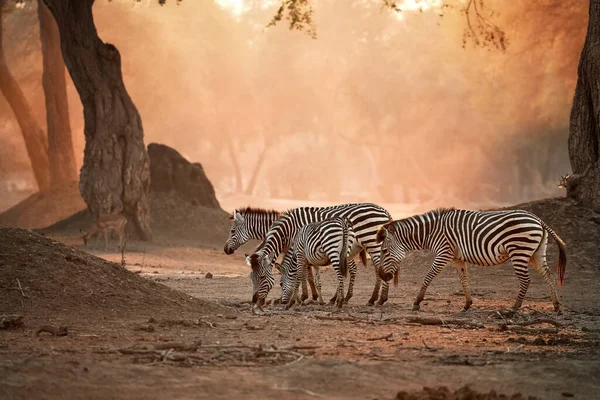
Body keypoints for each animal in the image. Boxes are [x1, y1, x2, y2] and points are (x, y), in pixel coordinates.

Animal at [246, 203, 392, 310]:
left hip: (372, 243)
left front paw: (302, 298)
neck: (288, 229)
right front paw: (310, 298)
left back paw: (379, 299)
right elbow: (310, 274)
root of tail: (385, 211)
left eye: (262, 277)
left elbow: (303, 274)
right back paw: (363, 298)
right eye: (251, 277)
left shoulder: (302, 247)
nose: (254, 301)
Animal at [376, 208, 568, 314]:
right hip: (536, 253)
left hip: (519, 251)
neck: (432, 232)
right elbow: (464, 280)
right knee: (548, 275)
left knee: (526, 280)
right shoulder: (457, 258)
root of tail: (538, 220)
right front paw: (467, 304)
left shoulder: (444, 253)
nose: (382, 276)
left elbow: (428, 276)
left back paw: (514, 308)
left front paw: (417, 302)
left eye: (384, 251)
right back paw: (556, 306)